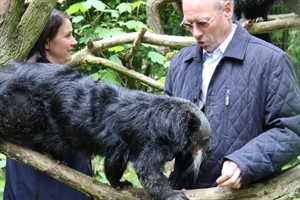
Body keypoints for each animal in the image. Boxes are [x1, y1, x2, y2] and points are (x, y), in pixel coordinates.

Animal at [0, 62, 211, 200]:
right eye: (206, 139)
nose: (209, 149)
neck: (170, 120)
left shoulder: (120, 146)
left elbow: (114, 164)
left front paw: (117, 183)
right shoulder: (152, 141)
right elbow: (148, 172)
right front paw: (172, 195)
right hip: (25, 107)